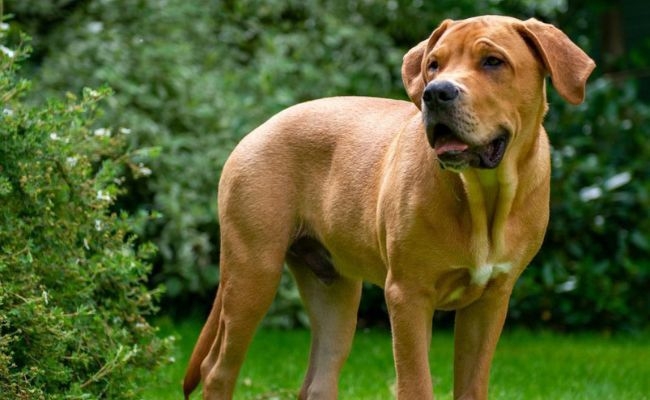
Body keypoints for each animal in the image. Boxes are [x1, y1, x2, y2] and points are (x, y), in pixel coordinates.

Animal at [182, 15, 592, 400]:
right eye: (433, 65)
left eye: (493, 61)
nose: (436, 93)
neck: (483, 195)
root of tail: (258, 129)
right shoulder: (408, 295)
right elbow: (416, 385)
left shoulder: (490, 301)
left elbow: (471, 386)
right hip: (253, 271)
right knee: (217, 370)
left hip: (334, 291)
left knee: (317, 381)